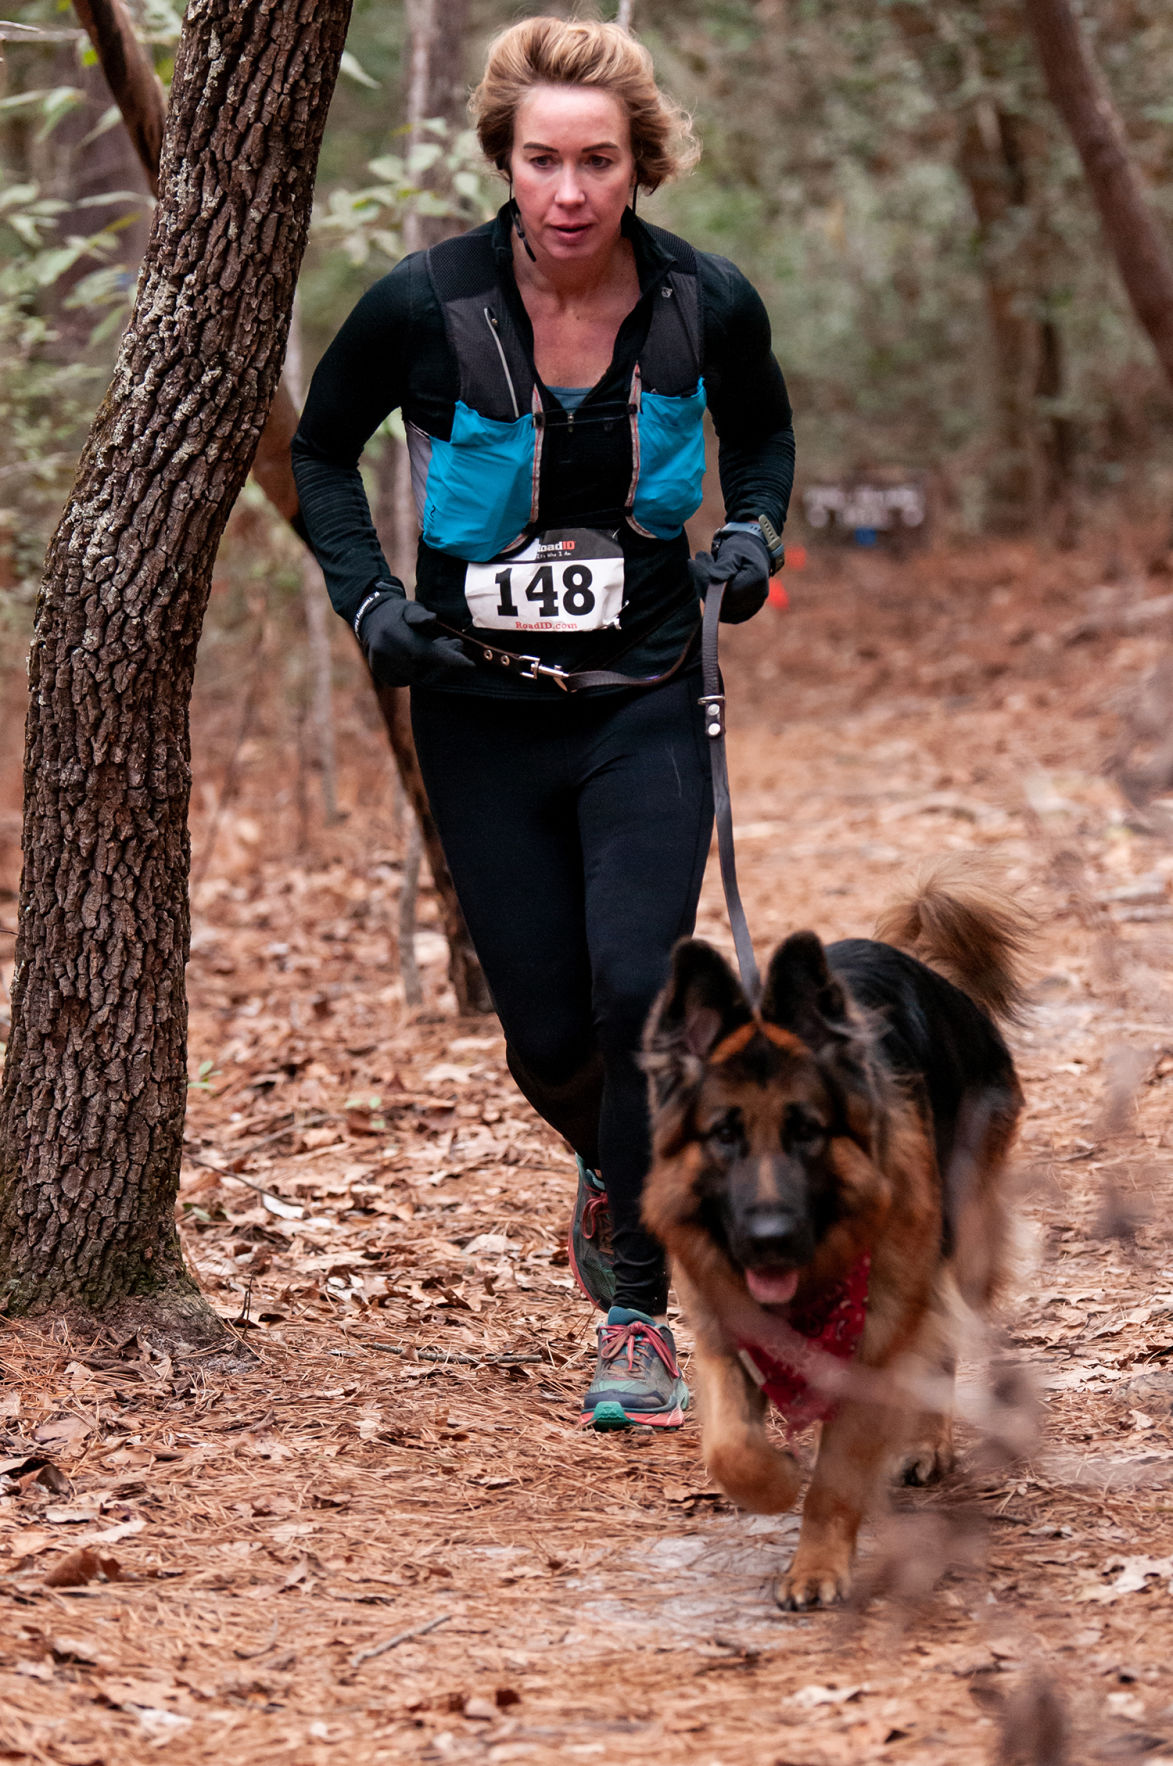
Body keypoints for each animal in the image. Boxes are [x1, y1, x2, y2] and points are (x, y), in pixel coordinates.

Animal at [643, 875, 1024, 1610]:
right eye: (724, 1134)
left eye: (807, 1132)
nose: (769, 1240)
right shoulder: (725, 1328)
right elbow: (729, 1449)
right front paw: (773, 1480)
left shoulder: (872, 1345)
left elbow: (836, 1479)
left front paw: (816, 1566)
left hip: (956, 1246)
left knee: (940, 1341)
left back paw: (926, 1445)